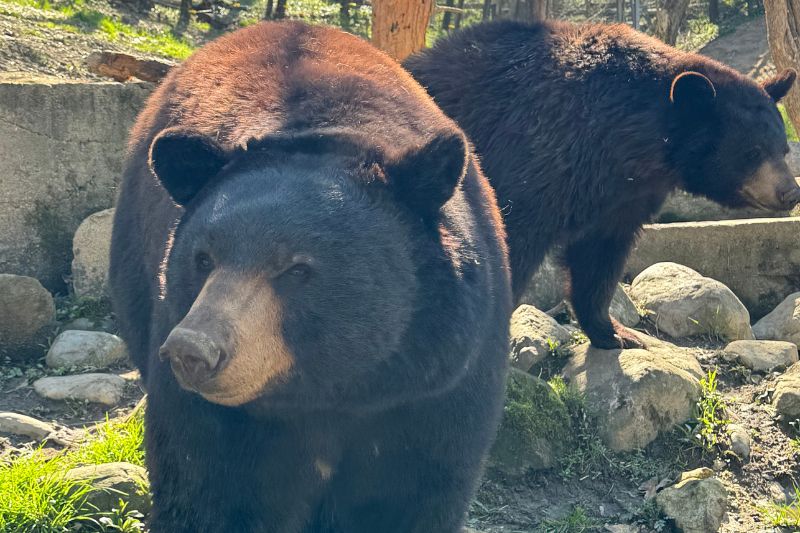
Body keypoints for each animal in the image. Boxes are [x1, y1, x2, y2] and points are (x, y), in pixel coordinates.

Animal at [108, 21, 512, 533]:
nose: (192, 350)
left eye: (297, 269)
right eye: (203, 259)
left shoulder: (440, 380)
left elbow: (412, 493)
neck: (333, 392)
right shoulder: (212, 414)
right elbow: (209, 489)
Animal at [405, 20, 799, 349]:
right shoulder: (535, 157)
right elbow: (511, 241)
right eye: (752, 152)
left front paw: (616, 334)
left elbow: (600, 256)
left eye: (782, 148)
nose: (790, 192)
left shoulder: (623, 196)